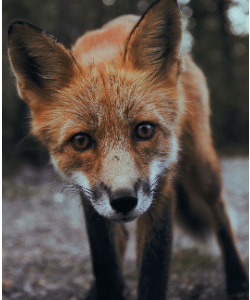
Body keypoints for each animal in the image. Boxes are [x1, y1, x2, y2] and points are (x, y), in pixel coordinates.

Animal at [7, 0, 248, 298]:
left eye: (144, 130)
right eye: (81, 141)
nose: (123, 201)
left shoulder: (162, 185)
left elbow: (153, 270)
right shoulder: (89, 196)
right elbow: (106, 262)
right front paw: (106, 289)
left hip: (201, 167)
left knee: (220, 213)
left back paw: (237, 278)